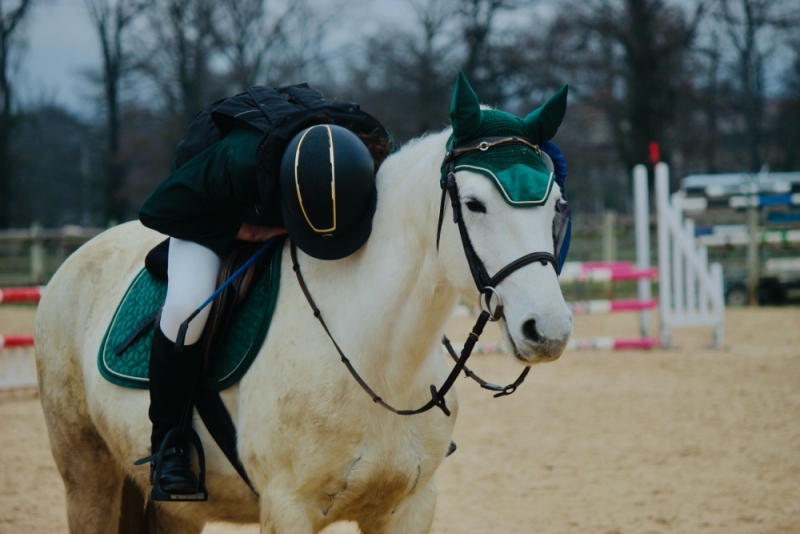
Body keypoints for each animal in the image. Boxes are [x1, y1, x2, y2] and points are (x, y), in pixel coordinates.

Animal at [34, 77, 572, 532]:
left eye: (556, 205)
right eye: (476, 204)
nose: (548, 331)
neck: (379, 363)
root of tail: (77, 258)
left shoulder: (410, 506)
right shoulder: (288, 505)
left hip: (173, 510)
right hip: (88, 474)